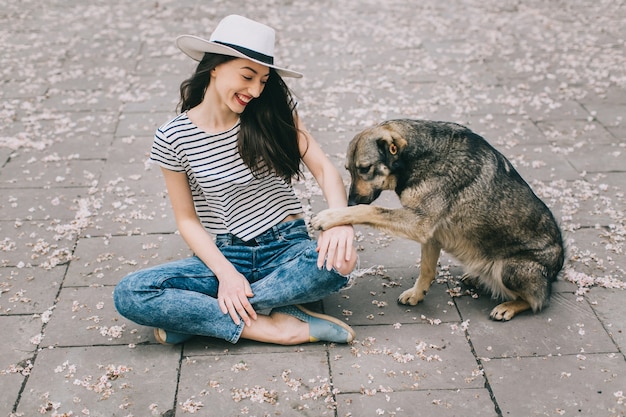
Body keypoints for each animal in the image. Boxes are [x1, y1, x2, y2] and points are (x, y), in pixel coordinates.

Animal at [310, 118, 564, 320]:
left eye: (365, 169)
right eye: (348, 169)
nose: (351, 201)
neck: (417, 156)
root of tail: (556, 270)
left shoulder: (418, 223)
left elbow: (370, 211)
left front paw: (331, 216)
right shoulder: (430, 234)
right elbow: (427, 269)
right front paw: (417, 294)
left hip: (510, 269)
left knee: (538, 301)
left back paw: (509, 307)